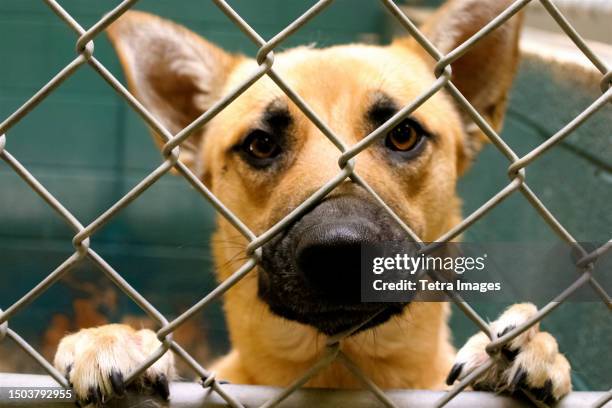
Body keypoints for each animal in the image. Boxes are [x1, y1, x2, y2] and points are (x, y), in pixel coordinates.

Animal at [55, 0, 572, 404]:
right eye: (260, 144)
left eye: (403, 134)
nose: (340, 252)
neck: (338, 376)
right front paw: (114, 341)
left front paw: (522, 348)